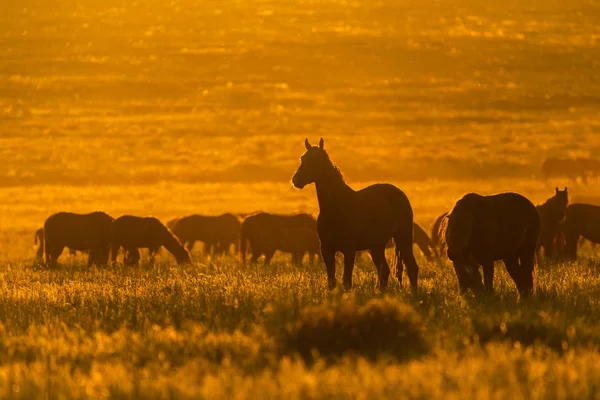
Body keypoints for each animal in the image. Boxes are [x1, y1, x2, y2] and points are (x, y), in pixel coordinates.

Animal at [290, 139, 418, 292]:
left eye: (317, 160)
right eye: (303, 158)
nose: (296, 180)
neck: (336, 207)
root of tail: (399, 193)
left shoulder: (349, 250)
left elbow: (346, 281)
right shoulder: (326, 249)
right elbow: (332, 281)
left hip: (403, 237)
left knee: (412, 267)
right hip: (377, 245)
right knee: (384, 271)